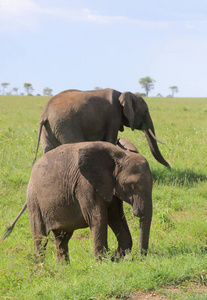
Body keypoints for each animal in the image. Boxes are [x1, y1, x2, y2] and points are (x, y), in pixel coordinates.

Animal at [2, 142, 153, 262]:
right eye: (133, 185)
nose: (141, 258)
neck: (119, 154)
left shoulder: (111, 187)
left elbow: (116, 217)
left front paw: (113, 259)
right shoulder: (85, 186)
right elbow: (98, 218)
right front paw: (103, 263)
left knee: (62, 238)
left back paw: (63, 269)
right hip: (34, 200)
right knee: (40, 236)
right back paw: (41, 269)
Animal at [32, 87, 170, 169]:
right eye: (145, 111)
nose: (170, 167)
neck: (123, 93)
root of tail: (45, 113)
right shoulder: (113, 115)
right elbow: (109, 141)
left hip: (49, 128)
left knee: (49, 150)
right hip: (66, 124)